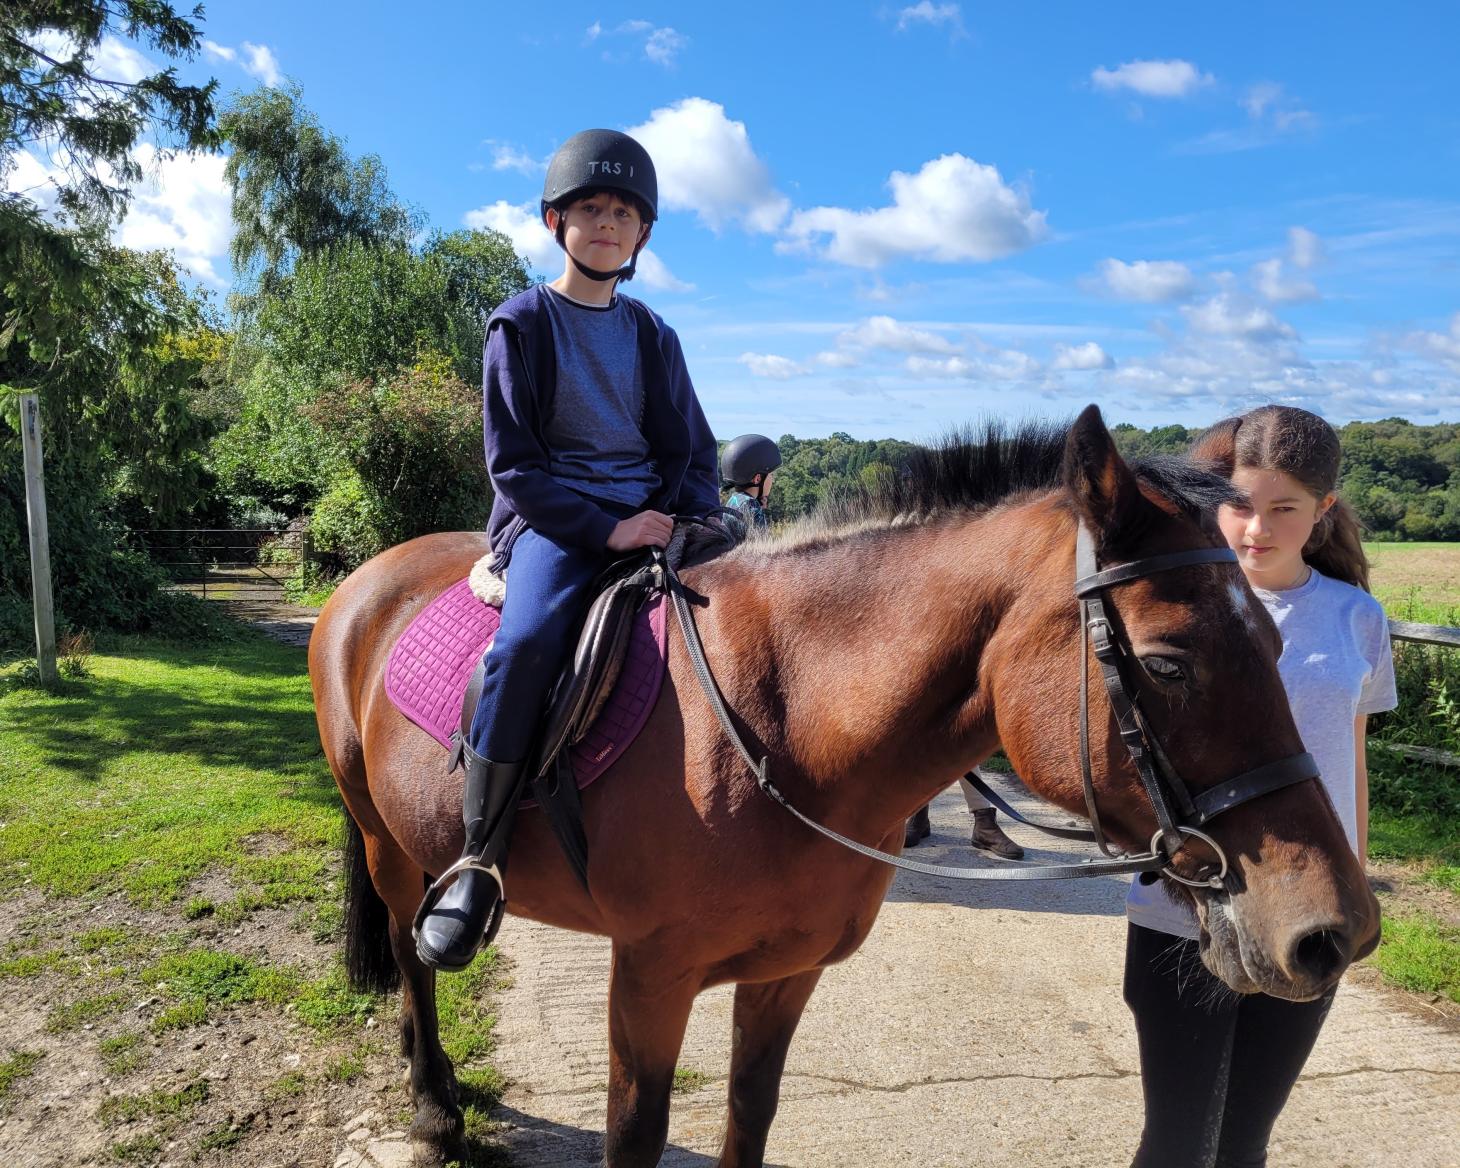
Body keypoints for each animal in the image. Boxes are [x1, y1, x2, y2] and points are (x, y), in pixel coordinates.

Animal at [308, 405, 1378, 1162]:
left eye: (1278, 640)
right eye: (1166, 663)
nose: (1334, 932)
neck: (784, 728)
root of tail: (370, 577)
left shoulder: (787, 974)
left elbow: (752, 1112)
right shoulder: (648, 976)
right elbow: (637, 1135)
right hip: (387, 843)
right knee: (408, 949)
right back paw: (433, 1104)